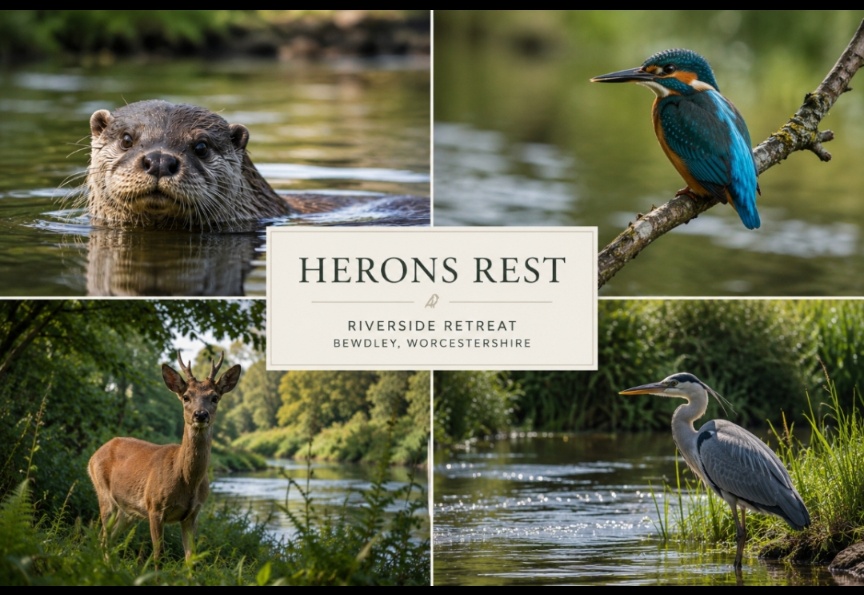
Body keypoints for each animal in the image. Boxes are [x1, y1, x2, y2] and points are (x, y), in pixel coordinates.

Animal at [88, 351, 241, 567]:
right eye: (186, 396)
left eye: (215, 397)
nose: (200, 415)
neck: (186, 480)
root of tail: (94, 454)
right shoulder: (154, 507)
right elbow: (158, 555)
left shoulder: (193, 514)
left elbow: (190, 559)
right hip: (104, 494)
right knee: (103, 535)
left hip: (127, 510)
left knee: (109, 536)